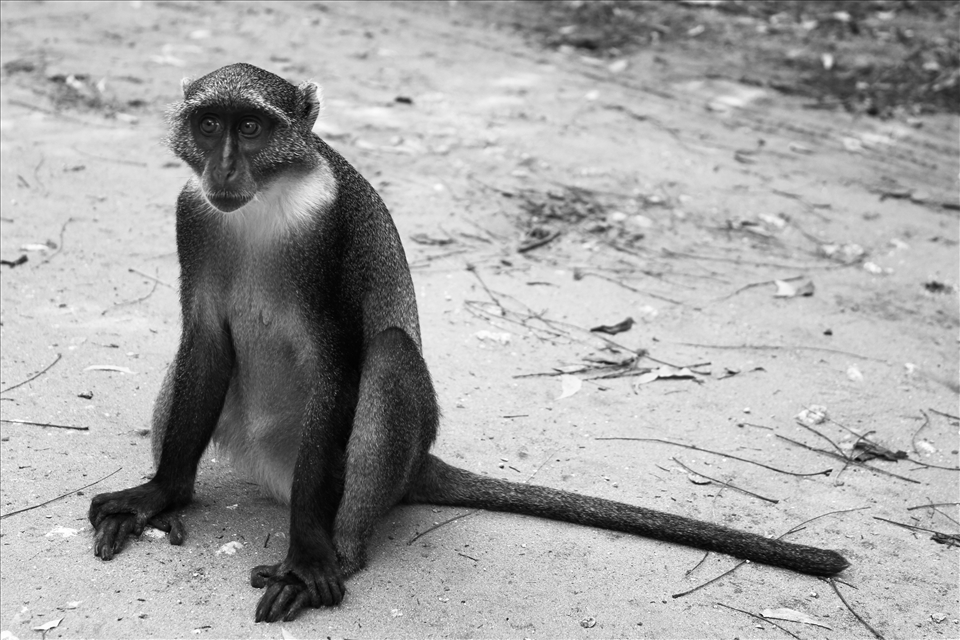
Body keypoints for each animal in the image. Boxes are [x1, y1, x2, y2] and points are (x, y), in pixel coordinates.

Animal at [88, 63, 849, 624]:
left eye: (251, 127)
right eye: (209, 123)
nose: (222, 169)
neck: (270, 200)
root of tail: (419, 464)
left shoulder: (330, 235)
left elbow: (344, 354)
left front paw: (306, 556)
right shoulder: (194, 217)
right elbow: (202, 340)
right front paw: (158, 493)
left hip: (342, 462)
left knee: (390, 354)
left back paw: (341, 550)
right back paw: (179, 499)